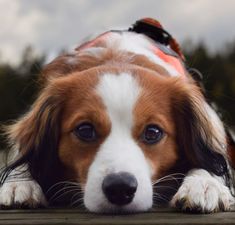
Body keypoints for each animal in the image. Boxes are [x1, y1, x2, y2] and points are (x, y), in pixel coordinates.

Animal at [0, 18, 235, 214]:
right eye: (85, 130)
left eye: (153, 132)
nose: (120, 188)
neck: (118, 58)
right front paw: (19, 182)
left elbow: (213, 160)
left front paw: (204, 184)